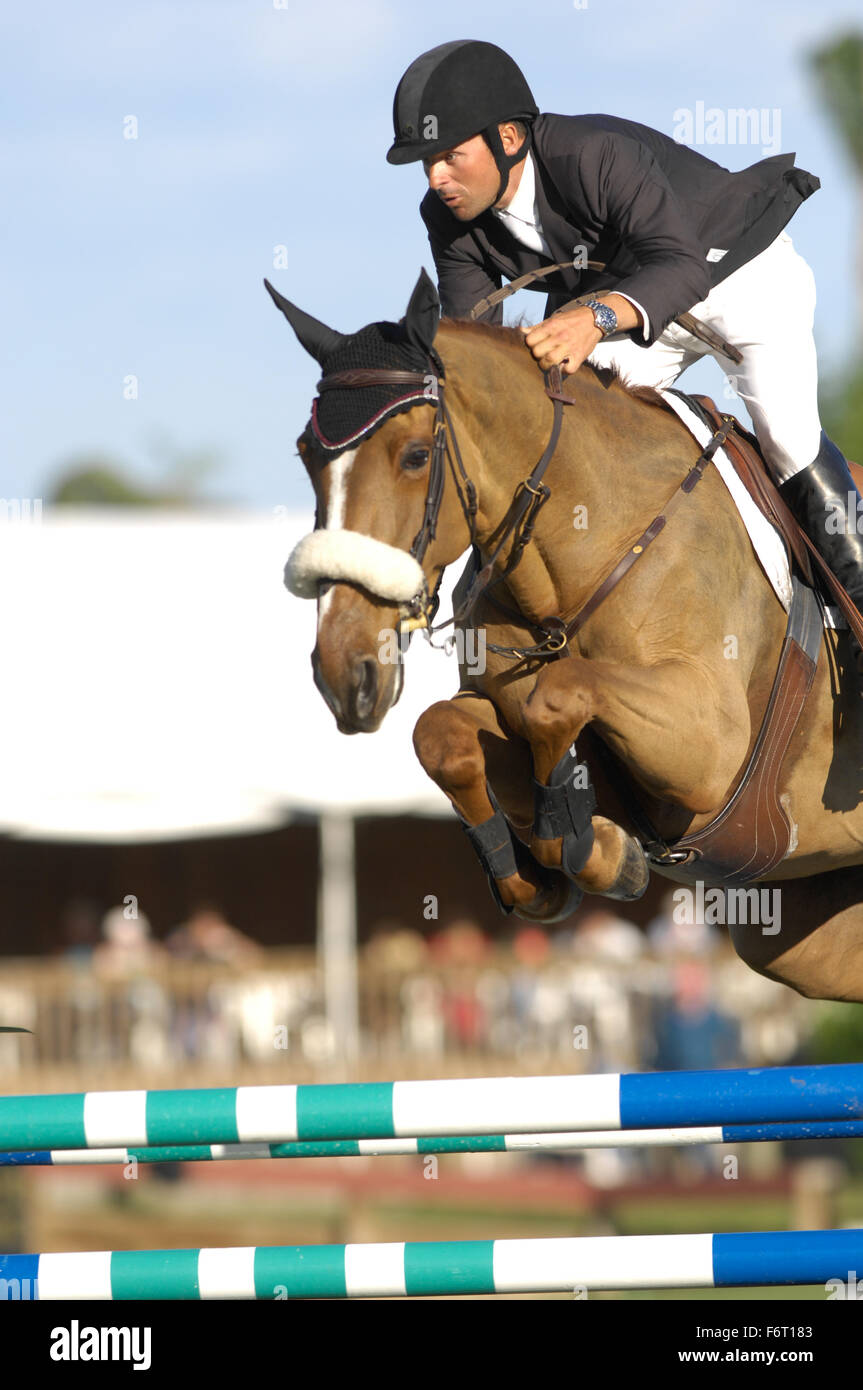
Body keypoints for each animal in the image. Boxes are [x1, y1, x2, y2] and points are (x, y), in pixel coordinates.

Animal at [265, 271, 861, 1006]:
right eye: (306, 456)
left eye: (415, 456)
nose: (344, 672)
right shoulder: (509, 710)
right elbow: (445, 735)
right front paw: (553, 869)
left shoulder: (711, 750)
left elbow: (559, 694)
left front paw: (587, 849)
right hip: (806, 934)